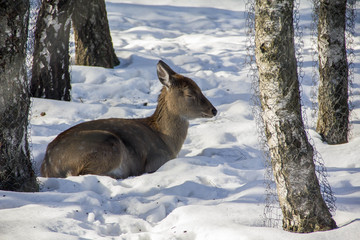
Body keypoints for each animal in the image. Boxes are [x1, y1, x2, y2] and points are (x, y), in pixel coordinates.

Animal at [41, 60, 218, 178]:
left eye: (200, 88)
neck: (167, 141)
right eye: (190, 94)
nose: (214, 110)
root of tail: (49, 167)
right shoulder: (156, 160)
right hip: (106, 144)